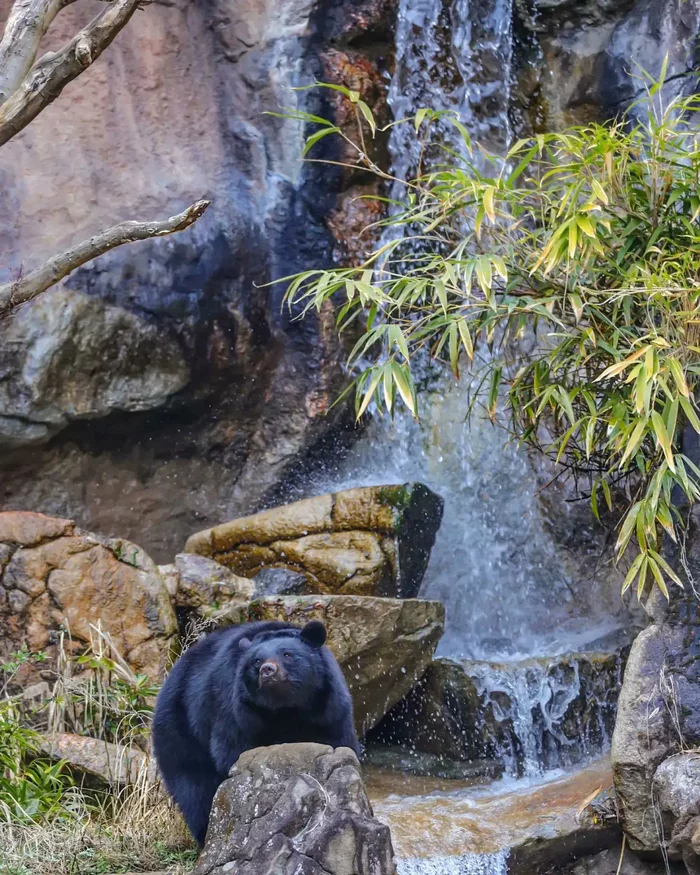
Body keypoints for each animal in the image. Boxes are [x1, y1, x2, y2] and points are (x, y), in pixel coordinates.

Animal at [154, 620, 360, 844]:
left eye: (287, 654)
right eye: (256, 660)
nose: (267, 670)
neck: (286, 710)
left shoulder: (330, 712)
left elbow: (338, 742)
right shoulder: (237, 714)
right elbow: (232, 751)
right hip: (181, 733)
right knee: (194, 791)